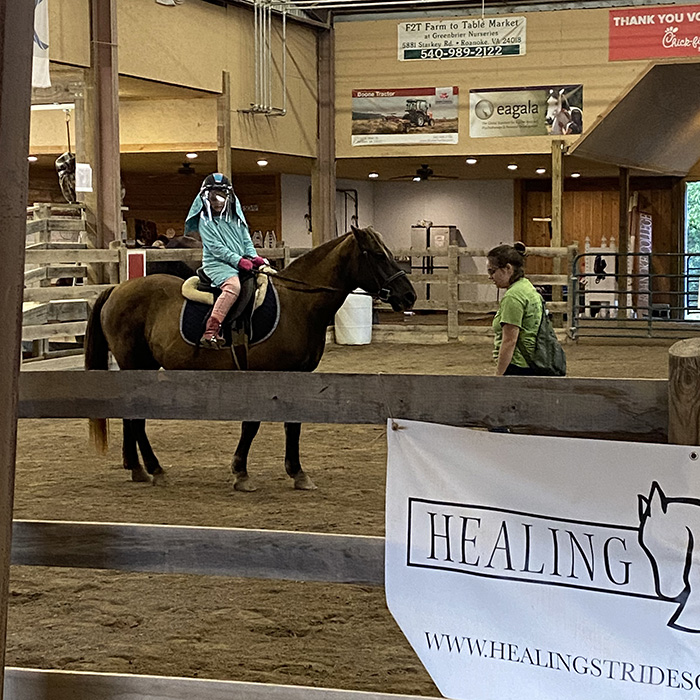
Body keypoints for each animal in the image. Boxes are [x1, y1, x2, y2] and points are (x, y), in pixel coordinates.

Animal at [86, 227, 416, 490]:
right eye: (377, 255)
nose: (409, 296)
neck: (298, 303)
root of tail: (117, 289)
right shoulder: (262, 374)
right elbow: (252, 424)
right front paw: (241, 473)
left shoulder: (297, 376)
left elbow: (293, 424)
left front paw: (298, 473)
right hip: (136, 364)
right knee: (136, 418)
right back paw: (154, 469)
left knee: (131, 416)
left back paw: (137, 468)